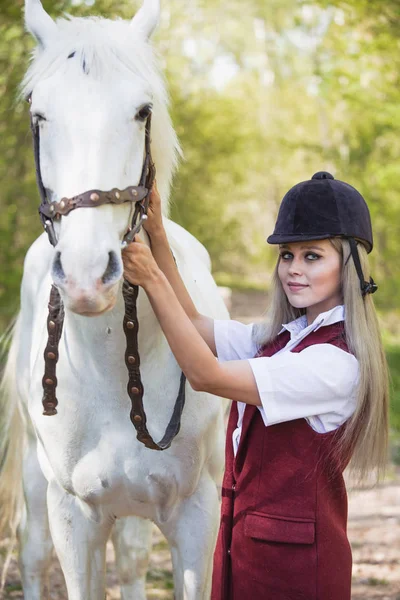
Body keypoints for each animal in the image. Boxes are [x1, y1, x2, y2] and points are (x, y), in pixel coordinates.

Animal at [0, 2, 228, 596]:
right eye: (40, 115)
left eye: (141, 111)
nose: (85, 277)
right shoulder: (75, 520)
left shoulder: (197, 519)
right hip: (37, 490)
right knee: (32, 555)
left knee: (130, 559)